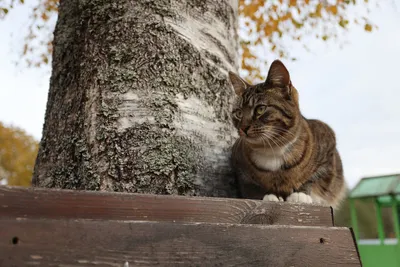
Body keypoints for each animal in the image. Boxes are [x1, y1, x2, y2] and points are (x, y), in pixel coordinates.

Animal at [230, 60, 346, 209]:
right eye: (238, 113)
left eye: (260, 109)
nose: (243, 128)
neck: (272, 148)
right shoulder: (238, 165)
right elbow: (250, 186)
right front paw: (268, 196)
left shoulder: (328, 145)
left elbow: (314, 176)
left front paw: (300, 195)